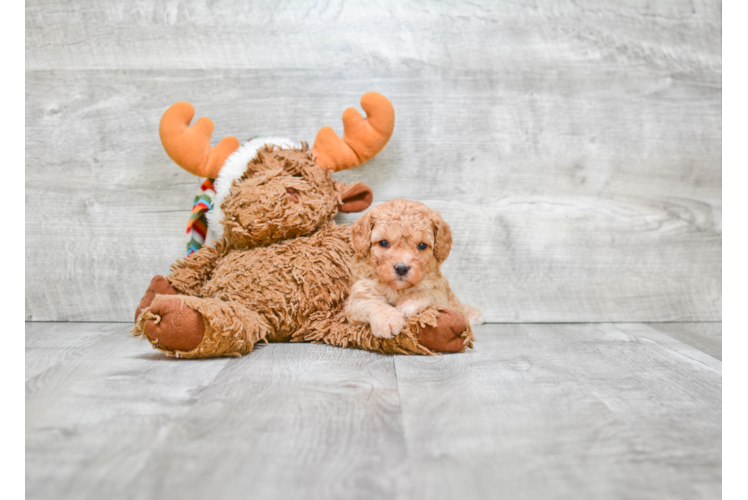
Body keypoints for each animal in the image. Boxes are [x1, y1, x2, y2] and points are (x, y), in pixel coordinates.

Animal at [346, 199, 486, 340]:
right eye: (383, 243)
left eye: (422, 245)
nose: (401, 268)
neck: (398, 289)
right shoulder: (358, 294)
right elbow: (371, 302)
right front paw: (387, 319)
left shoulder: (440, 294)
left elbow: (428, 292)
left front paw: (408, 303)